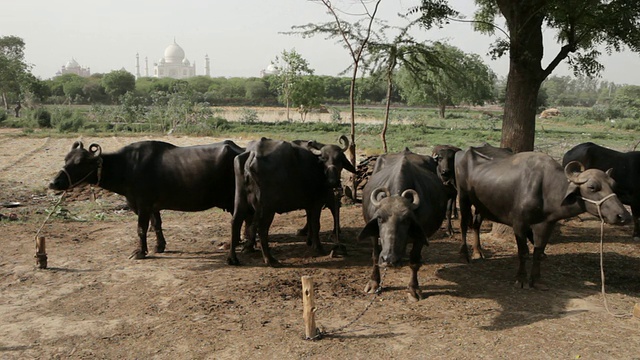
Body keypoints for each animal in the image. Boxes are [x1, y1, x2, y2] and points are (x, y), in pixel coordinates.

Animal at [47, 140, 246, 258]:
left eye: (79, 163)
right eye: (66, 159)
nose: (53, 183)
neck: (126, 167)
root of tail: (242, 150)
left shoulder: (142, 205)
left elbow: (141, 229)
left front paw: (140, 252)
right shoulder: (153, 206)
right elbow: (156, 224)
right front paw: (160, 246)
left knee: (239, 219)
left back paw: (234, 243)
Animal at [356, 148, 450, 300]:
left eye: (406, 220)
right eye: (380, 218)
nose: (389, 259)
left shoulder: (420, 236)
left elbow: (414, 262)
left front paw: (413, 289)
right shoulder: (373, 234)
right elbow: (375, 256)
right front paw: (374, 283)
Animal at [456, 145, 632, 288]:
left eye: (613, 185)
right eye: (592, 187)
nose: (623, 216)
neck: (547, 189)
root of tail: (463, 152)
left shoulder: (547, 224)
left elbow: (538, 252)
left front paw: (536, 280)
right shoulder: (519, 224)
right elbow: (523, 252)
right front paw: (521, 279)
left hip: (481, 206)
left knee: (476, 225)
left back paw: (478, 252)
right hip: (463, 197)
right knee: (464, 224)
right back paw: (464, 254)